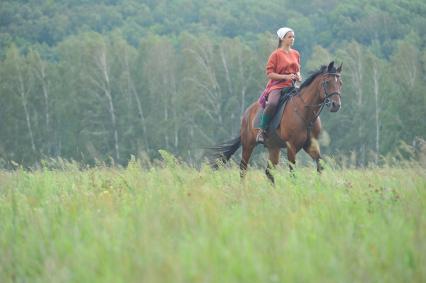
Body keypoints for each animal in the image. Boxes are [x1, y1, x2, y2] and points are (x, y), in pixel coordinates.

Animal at [206, 61, 342, 184]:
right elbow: (292, 172)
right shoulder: (291, 146)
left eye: (340, 83)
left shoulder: (310, 145)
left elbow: (320, 165)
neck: (304, 111)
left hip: (273, 148)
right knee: (243, 169)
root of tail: (247, 112)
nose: (336, 105)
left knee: (268, 172)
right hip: (248, 144)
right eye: (327, 82)